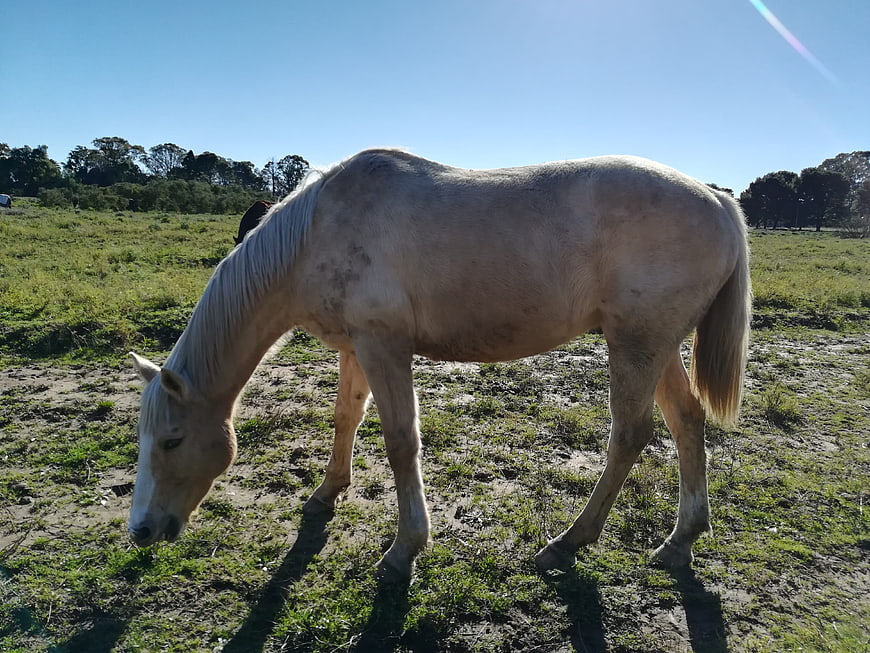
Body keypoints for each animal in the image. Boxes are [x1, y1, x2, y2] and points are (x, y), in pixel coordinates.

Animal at [129, 148, 751, 579]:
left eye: (172, 441)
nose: (141, 531)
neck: (315, 234)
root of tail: (719, 199)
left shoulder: (385, 347)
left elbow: (401, 442)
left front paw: (404, 548)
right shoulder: (356, 347)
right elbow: (345, 419)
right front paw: (327, 493)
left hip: (636, 344)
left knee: (630, 435)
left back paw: (568, 543)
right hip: (655, 345)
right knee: (686, 421)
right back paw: (680, 540)